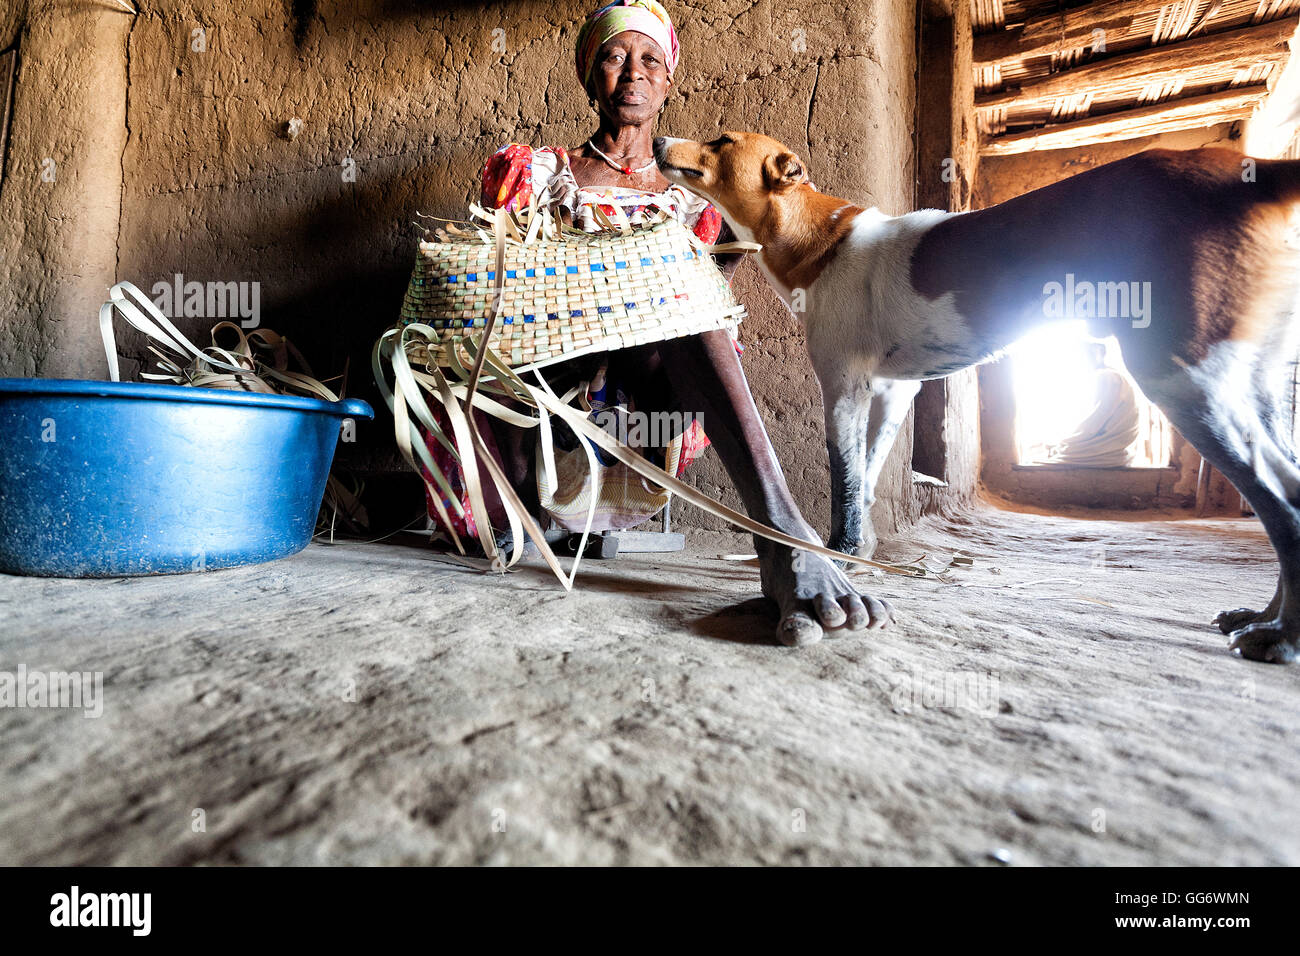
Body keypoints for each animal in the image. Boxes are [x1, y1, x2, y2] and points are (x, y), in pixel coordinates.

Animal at [655, 130, 1300, 660]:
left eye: (721, 140)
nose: (659, 139)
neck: (823, 240)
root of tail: (1256, 171)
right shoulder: (893, 393)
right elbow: (867, 481)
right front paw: (860, 554)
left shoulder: (843, 386)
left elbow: (846, 485)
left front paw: (839, 556)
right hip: (1254, 390)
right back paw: (1263, 619)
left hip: (1183, 379)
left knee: (1283, 502)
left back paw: (1282, 637)